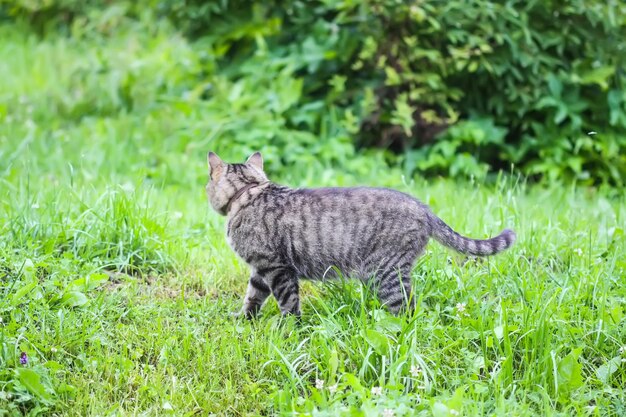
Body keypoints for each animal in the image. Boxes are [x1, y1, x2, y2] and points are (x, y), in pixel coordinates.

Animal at [207, 151, 516, 316]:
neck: (249, 192)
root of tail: (423, 207)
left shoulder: (277, 267)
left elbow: (288, 304)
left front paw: (286, 331)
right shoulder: (261, 268)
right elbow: (252, 296)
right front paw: (244, 319)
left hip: (386, 272)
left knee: (407, 309)